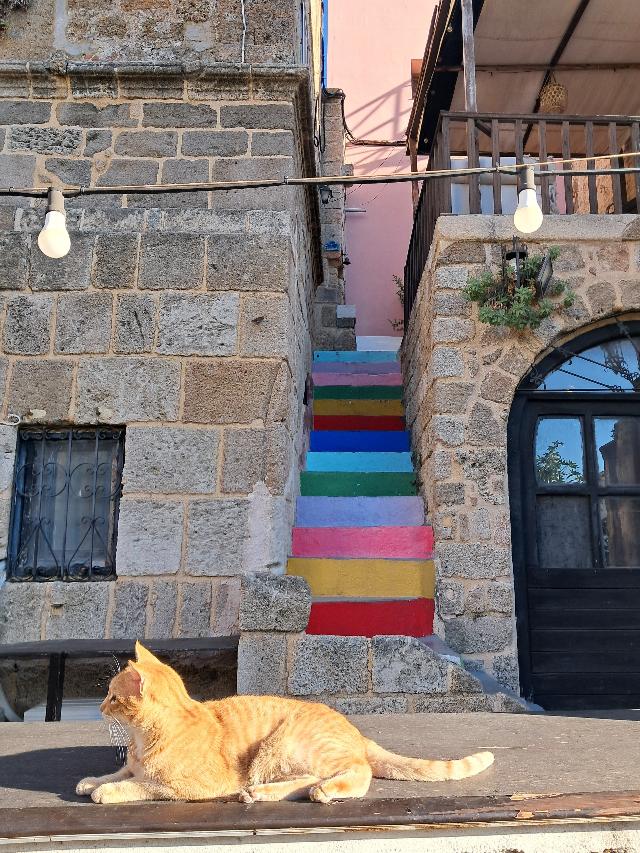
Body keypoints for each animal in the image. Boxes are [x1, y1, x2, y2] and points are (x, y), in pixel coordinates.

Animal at [77, 642, 494, 805]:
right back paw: (261, 793)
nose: (99, 706)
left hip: (284, 744)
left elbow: (143, 785)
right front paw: (92, 781)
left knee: (355, 774)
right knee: (307, 780)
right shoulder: (131, 765)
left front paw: (107, 792)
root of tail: (356, 731)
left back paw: (316, 792)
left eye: (113, 697)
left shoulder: (188, 787)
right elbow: (119, 773)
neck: (140, 741)